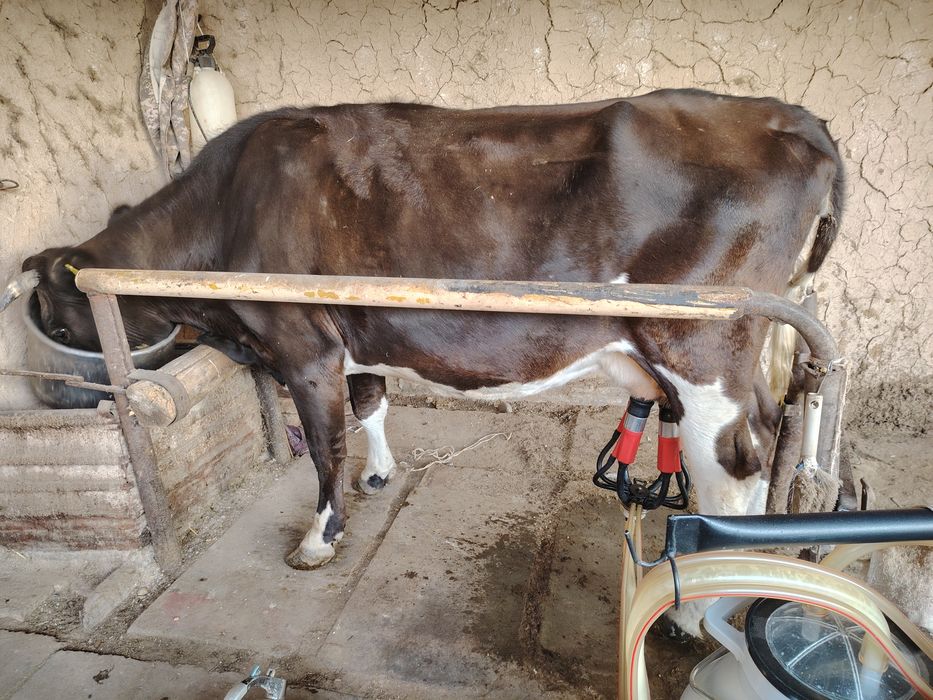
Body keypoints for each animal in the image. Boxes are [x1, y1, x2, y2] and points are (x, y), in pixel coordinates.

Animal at [2, 89, 843, 634]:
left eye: (51, 313)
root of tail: (789, 114)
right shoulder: (355, 332)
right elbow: (369, 401)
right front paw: (378, 475)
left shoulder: (302, 344)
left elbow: (325, 446)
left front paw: (319, 538)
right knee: (769, 432)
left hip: (703, 344)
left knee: (738, 456)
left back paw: (701, 610)